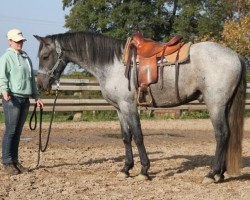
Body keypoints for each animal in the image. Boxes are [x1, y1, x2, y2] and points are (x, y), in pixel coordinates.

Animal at [34, 31, 247, 183]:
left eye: (44, 56)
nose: (40, 84)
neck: (113, 64)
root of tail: (236, 56)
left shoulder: (128, 105)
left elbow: (137, 136)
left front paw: (144, 170)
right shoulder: (119, 108)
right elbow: (126, 137)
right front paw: (126, 169)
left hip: (215, 104)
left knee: (221, 134)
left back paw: (212, 174)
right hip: (225, 105)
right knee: (227, 135)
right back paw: (220, 173)